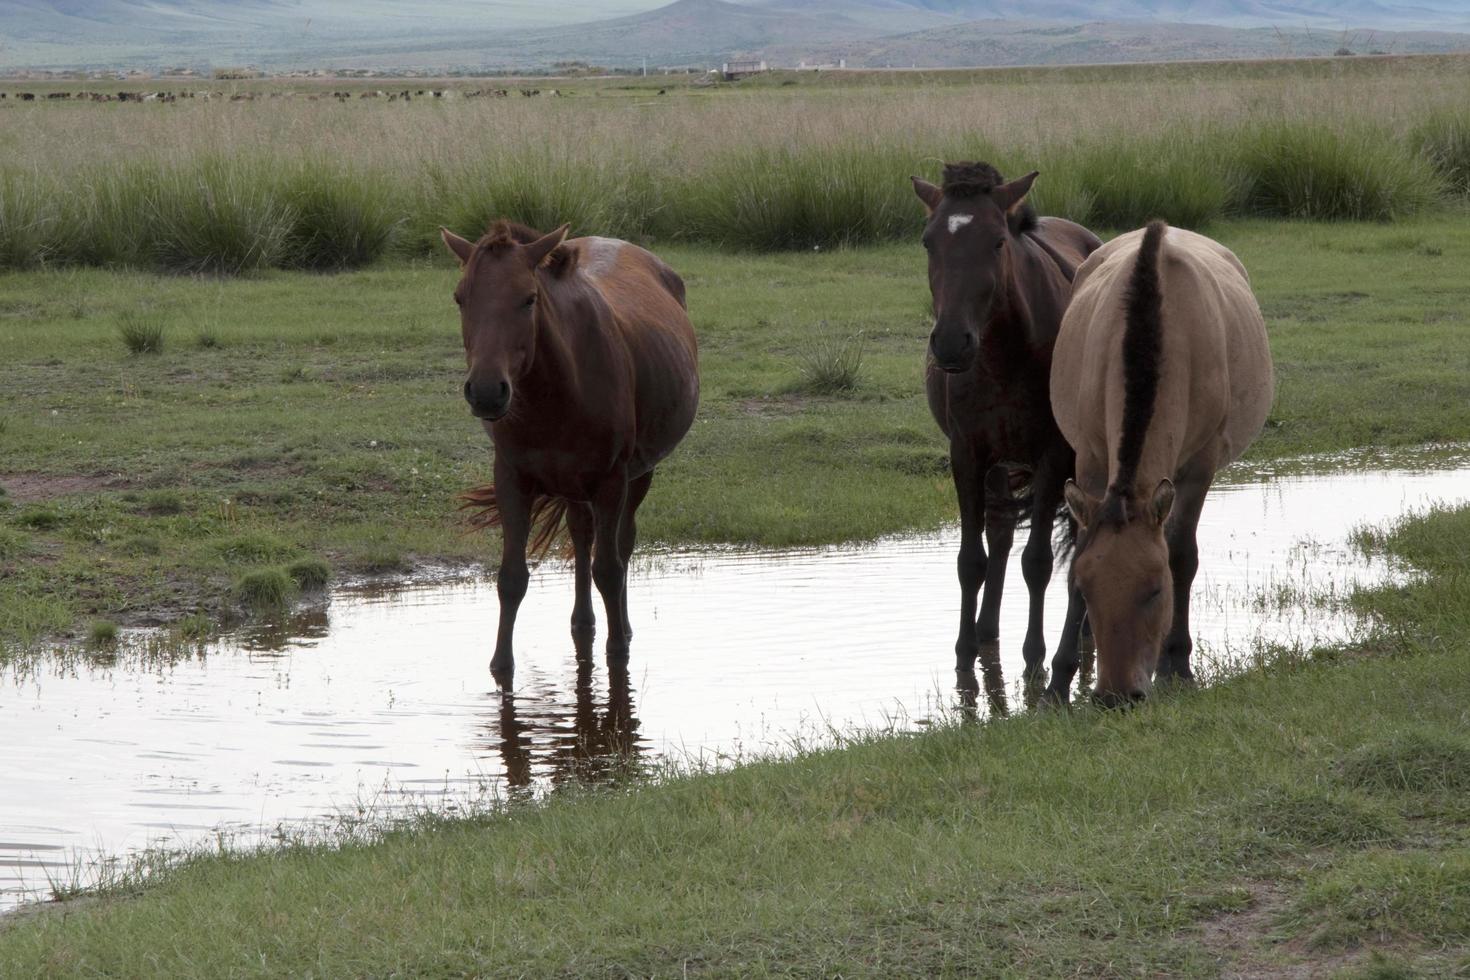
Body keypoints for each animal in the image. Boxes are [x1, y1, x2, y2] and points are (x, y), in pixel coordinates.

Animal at [441, 221, 699, 678]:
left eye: (529, 298)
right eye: (460, 297)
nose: (487, 392)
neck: (559, 392)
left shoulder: (612, 479)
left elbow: (609, 569)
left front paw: (618, 653)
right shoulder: (511, 478)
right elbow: (511, 578)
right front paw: (500, 665)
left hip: (637, 473)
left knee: (622, 543)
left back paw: (622, 626)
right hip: (575, 484)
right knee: (582, 535)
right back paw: (583, 622)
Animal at [905, 163, 1105, 681]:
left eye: (997, 241)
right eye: (928, 241)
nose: (951, 342)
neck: (1004, 354)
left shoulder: (1053, 455)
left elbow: (1037, 562)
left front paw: (1036, 659)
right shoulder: (968, 453)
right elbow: (971, 560)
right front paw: (964, 655)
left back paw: (1082, 636)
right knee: (998, 533)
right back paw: (987, 630)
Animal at [1046, 220, 1275, 705]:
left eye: (1154, 590)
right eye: (1087, 590)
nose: (1115, 696)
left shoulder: (1199, 467)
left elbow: (1182, 554)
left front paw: (1178, 666)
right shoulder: (1090, 459)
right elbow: (1079, 552)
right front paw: (1057, 682)